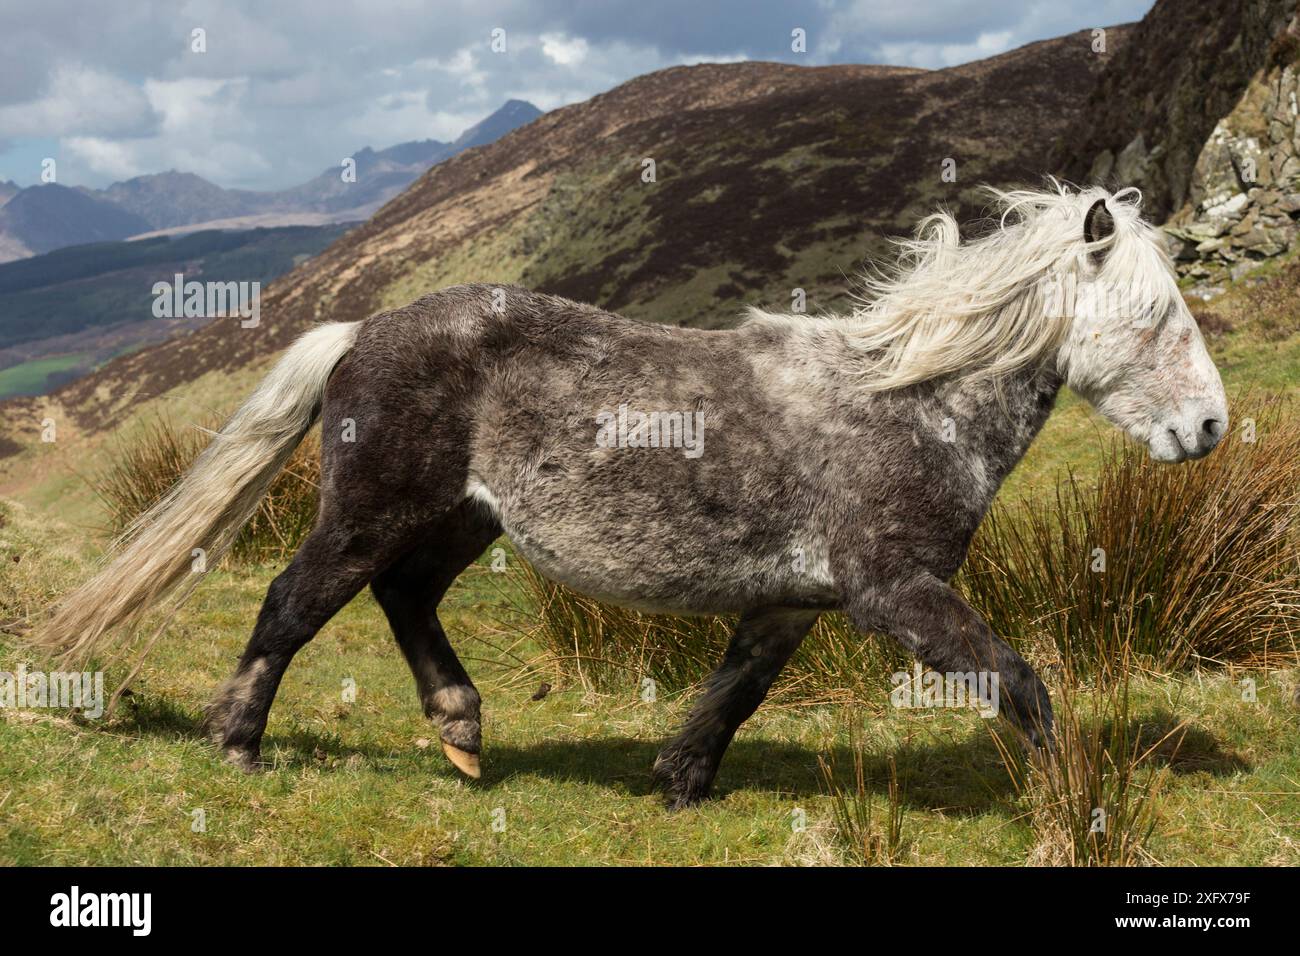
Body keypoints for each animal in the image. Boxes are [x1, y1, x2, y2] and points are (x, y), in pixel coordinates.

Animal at [32, 180, 1227, 806]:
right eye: (1156, 315)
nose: (1210, 427)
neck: (907, 401)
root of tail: (360, 329)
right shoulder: (895, 589)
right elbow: (1019, 682)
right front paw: (1078, 802)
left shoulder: (795, 599)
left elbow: (737, 688)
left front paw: (681, 780)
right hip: (371, 513)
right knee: (294, 600)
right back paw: (237, 741)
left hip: (459, 521)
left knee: (404, 598)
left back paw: (462, 730)